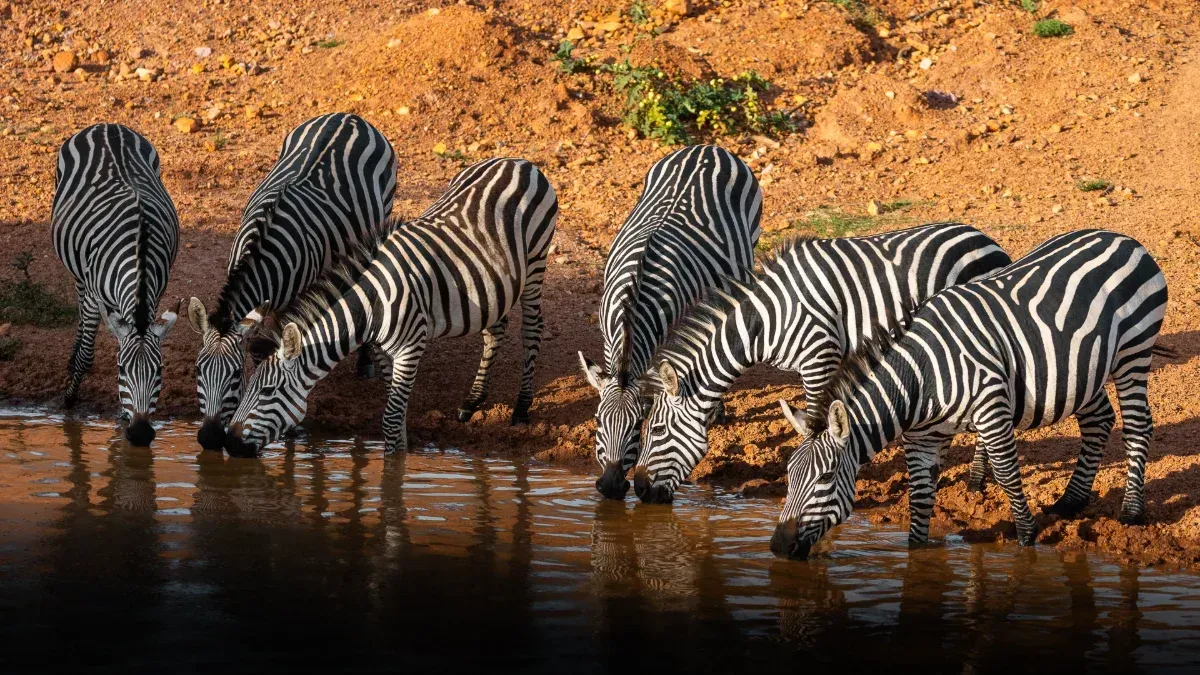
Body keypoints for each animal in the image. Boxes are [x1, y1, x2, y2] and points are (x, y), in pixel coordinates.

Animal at [52, 124, 180, 445]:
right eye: (121, 370)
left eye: (160, 370)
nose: (141, 433)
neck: (139, 250)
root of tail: (108, 126)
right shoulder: (94, 295)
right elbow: (87, 355)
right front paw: (69, 401)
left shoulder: (154, 294)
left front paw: (124, 414)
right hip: (78, 270)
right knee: (79, 301)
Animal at [184, 113, 397, 451]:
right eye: (197, 370)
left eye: (235, 375)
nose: (209, 438)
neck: (263, 254)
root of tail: (349, 116)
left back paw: (364, 363)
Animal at [221, 157, 557, 457]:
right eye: (244, 388)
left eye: (267, 392)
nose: (230, 444)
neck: (371, 306)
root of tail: (518, 162)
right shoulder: (383, 351)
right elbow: (396, 410)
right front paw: (402, 450)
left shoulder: (410, 348)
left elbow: (392, 418)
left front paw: (395, 469)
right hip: (491, 284)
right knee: (494, 331)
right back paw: (472, 402)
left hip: (536, 263)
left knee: (532, 330)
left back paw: (521, 408)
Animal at [635, 223, 1012, 503]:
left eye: (656, 430)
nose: (638, 490)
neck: (768, 319)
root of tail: (987, 240)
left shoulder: (819, 358)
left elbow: (816, 418)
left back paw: (976, 481)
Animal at [769, 229, 1167, 559]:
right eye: (788, 475)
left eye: (825, 478)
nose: (777, 547)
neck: (920, 379)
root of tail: (1123, 238)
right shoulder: (921, 439)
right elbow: (920, 497)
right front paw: (918, 558)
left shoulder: (991, 408)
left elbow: (1007, 474)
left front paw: (1027, 540)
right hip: (1082, 369)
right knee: (1099, 421)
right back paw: (1070, 502)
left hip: (1133, 351)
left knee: (1137, 426)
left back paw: (1131, 512)